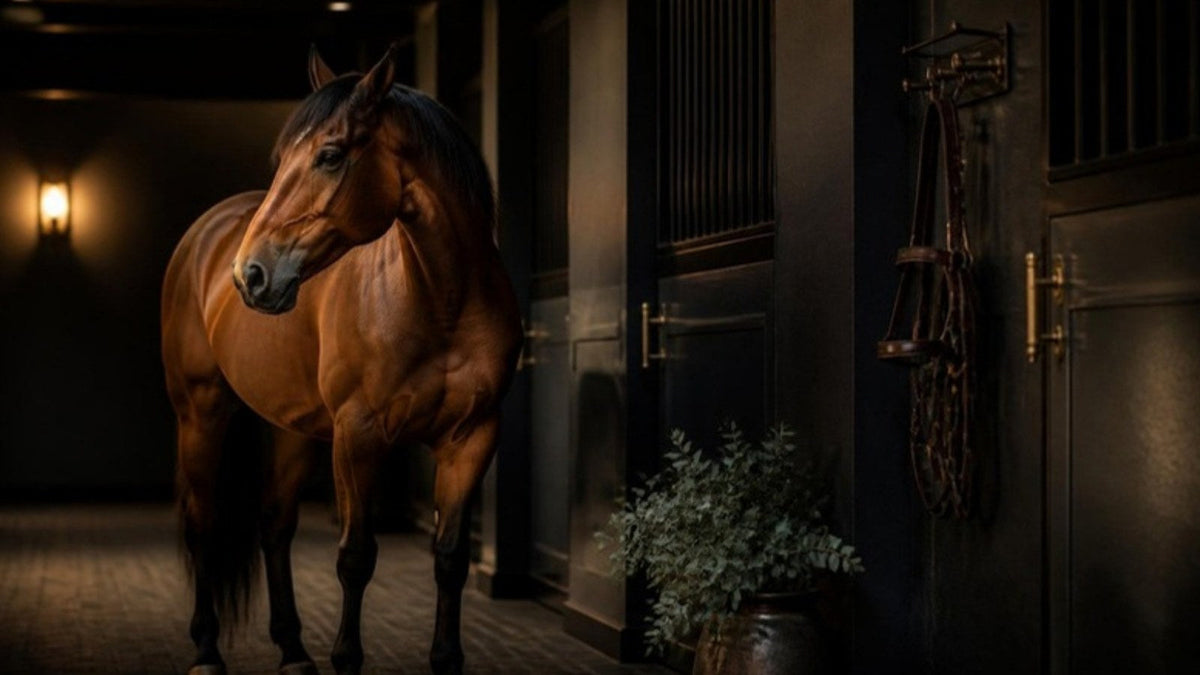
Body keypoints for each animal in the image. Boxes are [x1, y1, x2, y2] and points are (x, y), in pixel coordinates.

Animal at [160, 45, 522, 675]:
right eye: (283, 158)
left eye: (329, 156)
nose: (250, 274)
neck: (442, 302)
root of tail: (205, 237)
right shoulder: (359, 437)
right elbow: (355, 557)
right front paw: (346, 657)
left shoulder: (473, 438)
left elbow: (450, 559)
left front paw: (446, 657)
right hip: (201, 413)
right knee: (203, 523)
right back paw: (206, 650)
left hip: (294, 431)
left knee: (274, 524)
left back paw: (292, 650)